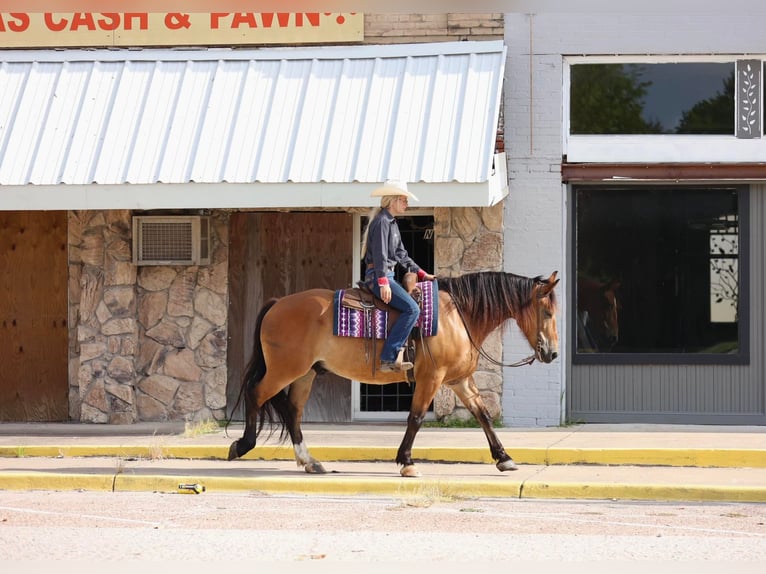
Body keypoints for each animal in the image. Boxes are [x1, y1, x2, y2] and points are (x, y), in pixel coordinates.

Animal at [226, 272, 560, 480]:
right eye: (547, 313)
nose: (553, 353)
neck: (457, 317)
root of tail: (277, 304)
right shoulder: (431, 378)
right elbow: (416, 418)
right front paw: (406, 462)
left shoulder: (460, 381)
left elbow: (483, 415)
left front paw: (504, 458)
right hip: (285, 370)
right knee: (257, 394)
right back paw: (243, 445)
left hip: (305, 374)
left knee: (293, 412)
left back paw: (310, 461)